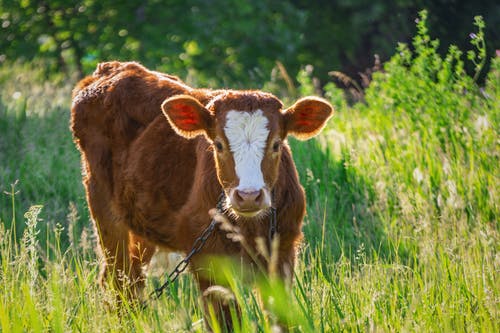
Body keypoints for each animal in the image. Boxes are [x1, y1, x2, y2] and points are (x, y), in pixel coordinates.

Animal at [68, 61, 330, 324]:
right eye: (218, 144)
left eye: (276, 144)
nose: (248, 196)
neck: (248, 227)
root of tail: (113, 68)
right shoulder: (207, 259)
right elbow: (225, 319)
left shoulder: (283, 254)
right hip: (103, 208)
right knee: (117, 277)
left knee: (132, 278)